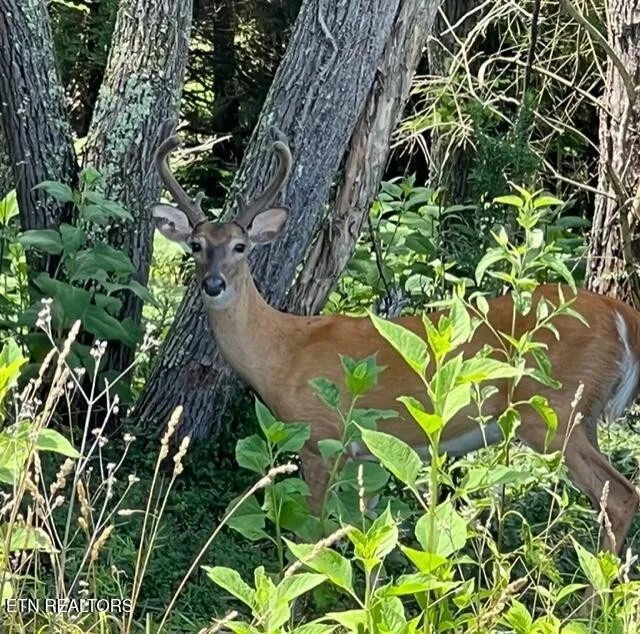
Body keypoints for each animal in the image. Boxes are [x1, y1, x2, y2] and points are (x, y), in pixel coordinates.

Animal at [150, 123, 639, 571]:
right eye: (196, 244)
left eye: (240, 246)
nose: (214, 284)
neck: (282, 351)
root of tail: (620, 315)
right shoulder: (361, 455)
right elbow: (363, 534)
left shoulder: (321, 437)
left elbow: (315, 534)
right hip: (584, 415)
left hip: (553, 410)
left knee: (619, 496)